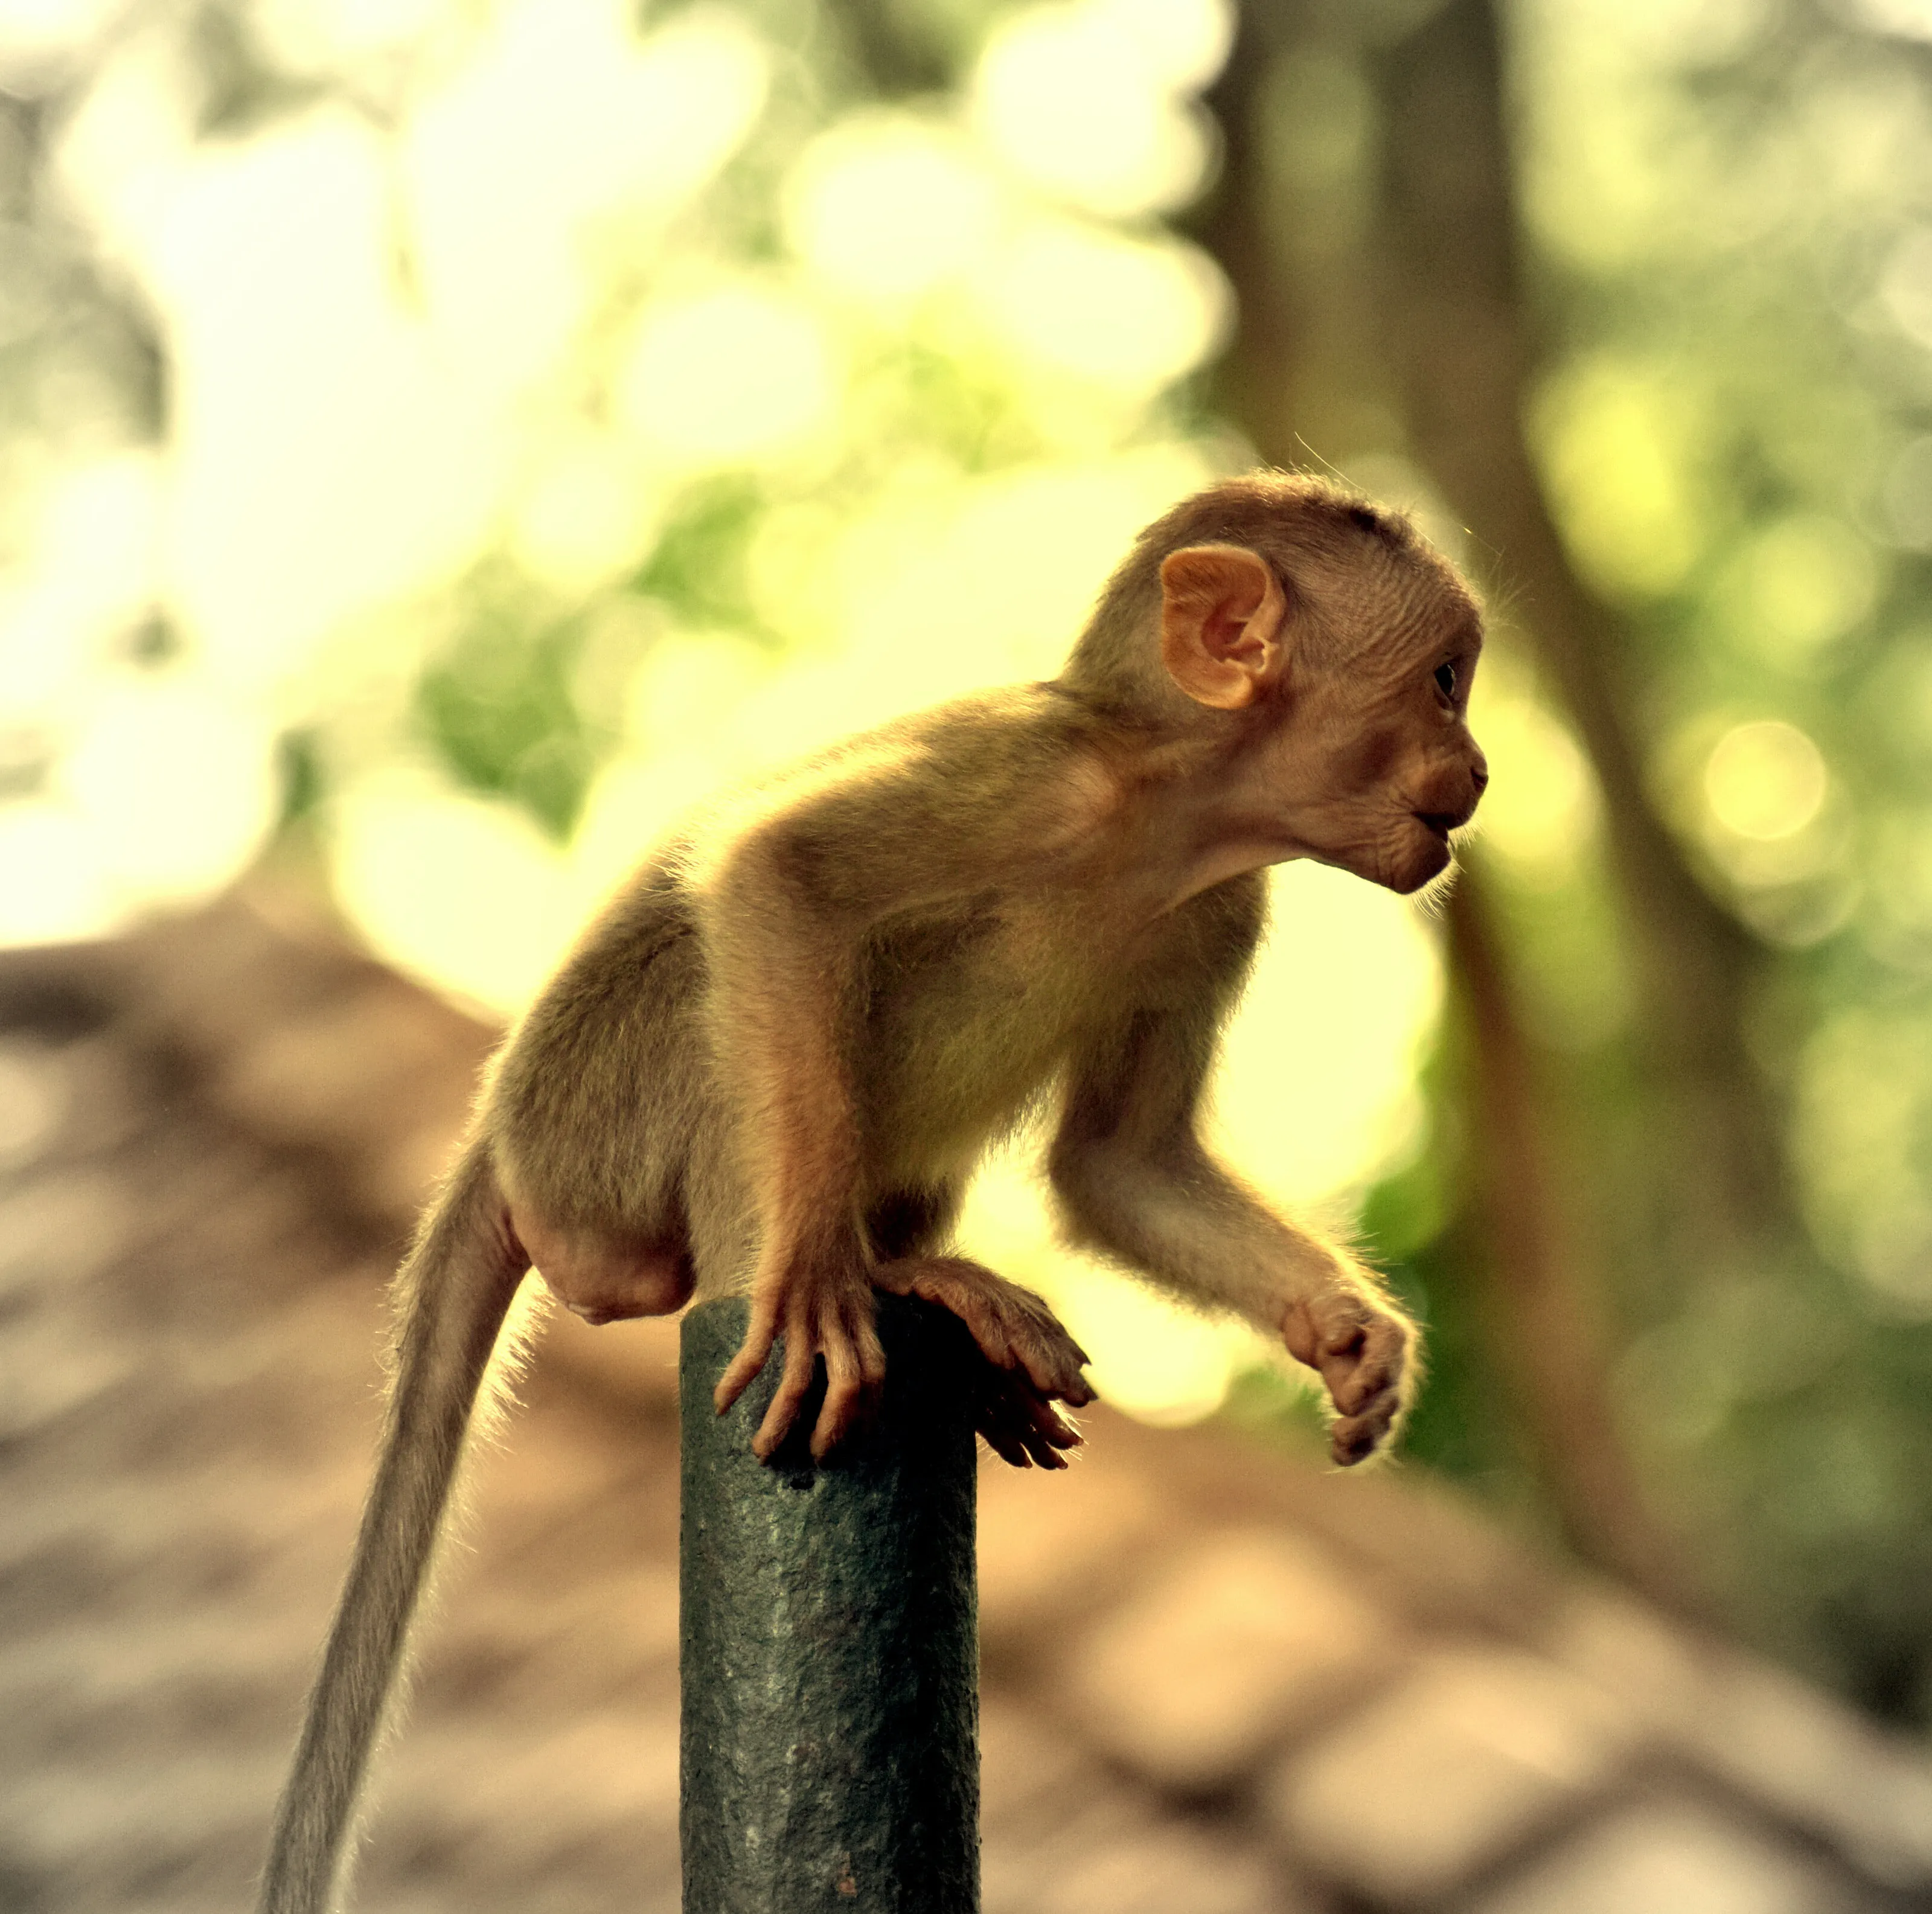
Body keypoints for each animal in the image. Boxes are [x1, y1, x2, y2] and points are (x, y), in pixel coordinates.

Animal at [258, 472, 1487, 1914]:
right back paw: (863, 1275)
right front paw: (808, 1279)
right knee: (732, 990)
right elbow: (775, 875)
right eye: (1446, 682)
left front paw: (1347, 1334)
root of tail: (499, 1143)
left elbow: (1120, 1166)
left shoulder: (1217, 913)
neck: (1162, 819)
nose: (1479, 767)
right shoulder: (1026, 786)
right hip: (592, 1128)